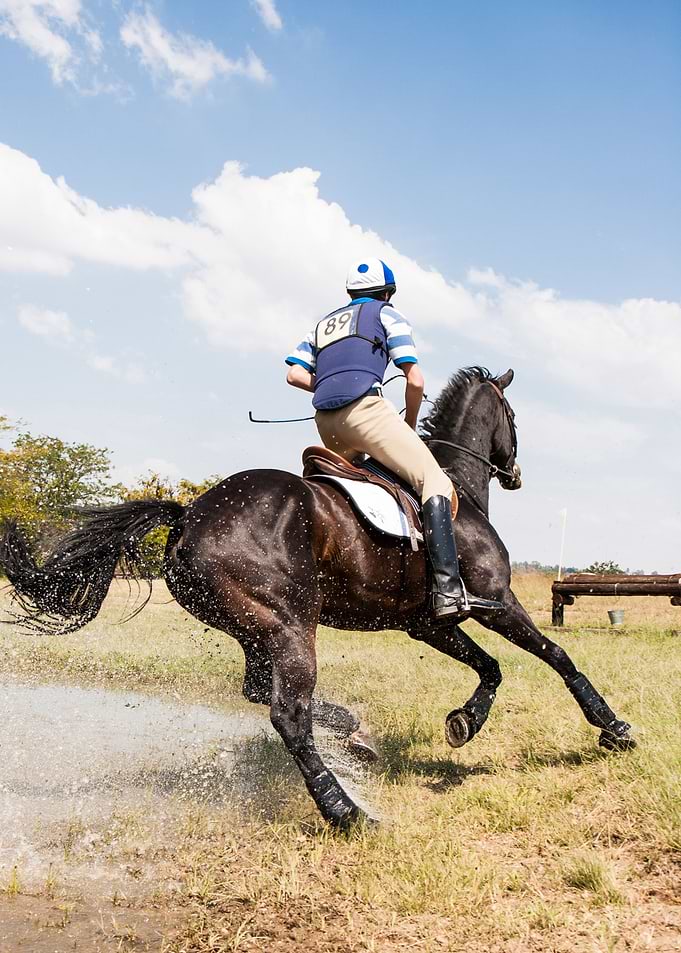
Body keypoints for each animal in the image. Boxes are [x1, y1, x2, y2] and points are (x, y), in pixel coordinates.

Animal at [0, 366, 635, 829]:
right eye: (513, 418)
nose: (516, 471)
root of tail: (190, 517)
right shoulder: (497, 601)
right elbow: (556, 656)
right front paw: (612, 728)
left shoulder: (428, 622)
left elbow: (491, 667)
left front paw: (464, 722)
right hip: (289, 625)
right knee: (288, 715)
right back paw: (346, 810)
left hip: (256, 627)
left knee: (262, 691)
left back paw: (353, 737)